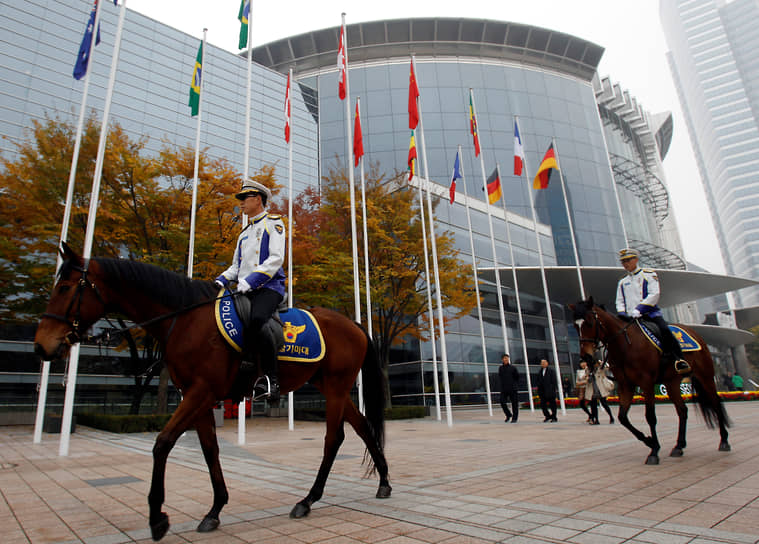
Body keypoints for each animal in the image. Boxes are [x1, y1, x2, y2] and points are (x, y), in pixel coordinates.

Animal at [35, 244, 392, 540]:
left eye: (65, 288)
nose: (42, 346)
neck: (185, 319)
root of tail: (354, 324)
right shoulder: (198, 397)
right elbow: (210, 450)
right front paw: (215, 509)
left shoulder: (201, 392)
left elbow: (163, 443)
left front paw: (157, 518)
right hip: (332, 387)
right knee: (362, 427)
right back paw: (384, 482)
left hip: (335, 387)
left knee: (335, 438)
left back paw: (308, 499)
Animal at [568, 300, 732, 466]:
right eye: (575, 325)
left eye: (589, 323)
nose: (586, 357)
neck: (625, 345)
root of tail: (693, 332)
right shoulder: (625, 385)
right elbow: (623, 417)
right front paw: (650, 441)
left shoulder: (646, 382)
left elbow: (650, 416)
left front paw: (654, 451)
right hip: (672, 382)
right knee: (682, 410)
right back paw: (679, 446)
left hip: (705, 376)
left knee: (716, 403)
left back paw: (724, 440)